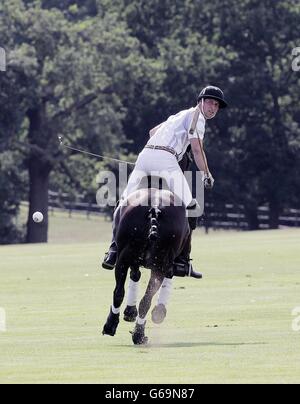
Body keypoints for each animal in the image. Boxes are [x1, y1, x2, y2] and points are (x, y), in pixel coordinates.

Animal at [102, 187, 189, 344]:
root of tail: (154, 208)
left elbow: (135, 277)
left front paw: (130, 311)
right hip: (157, 264)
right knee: (144, 299)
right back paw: (138, 333)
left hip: (125, 259)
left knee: (120, 293)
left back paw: (113, 326)